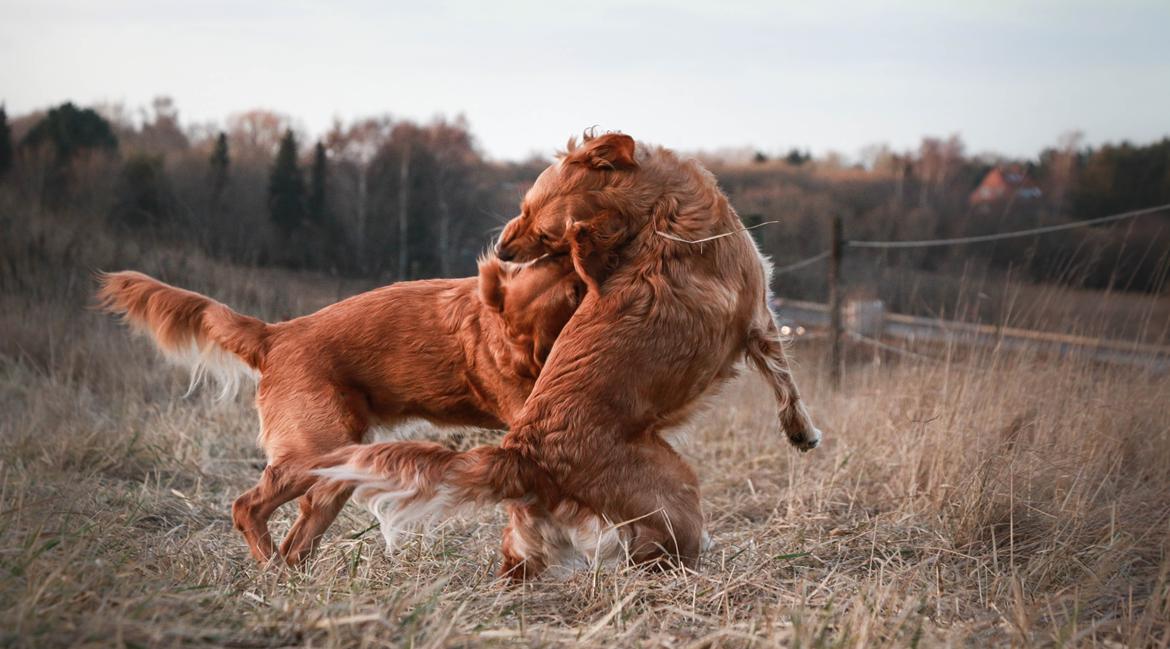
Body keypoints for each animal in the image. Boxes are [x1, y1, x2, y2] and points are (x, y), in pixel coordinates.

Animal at [98, 253, 582, 563]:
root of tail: (275, 335)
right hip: (311, 454)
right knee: (246, 507)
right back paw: (267, 566)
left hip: (339, 471)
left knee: (296, 542)